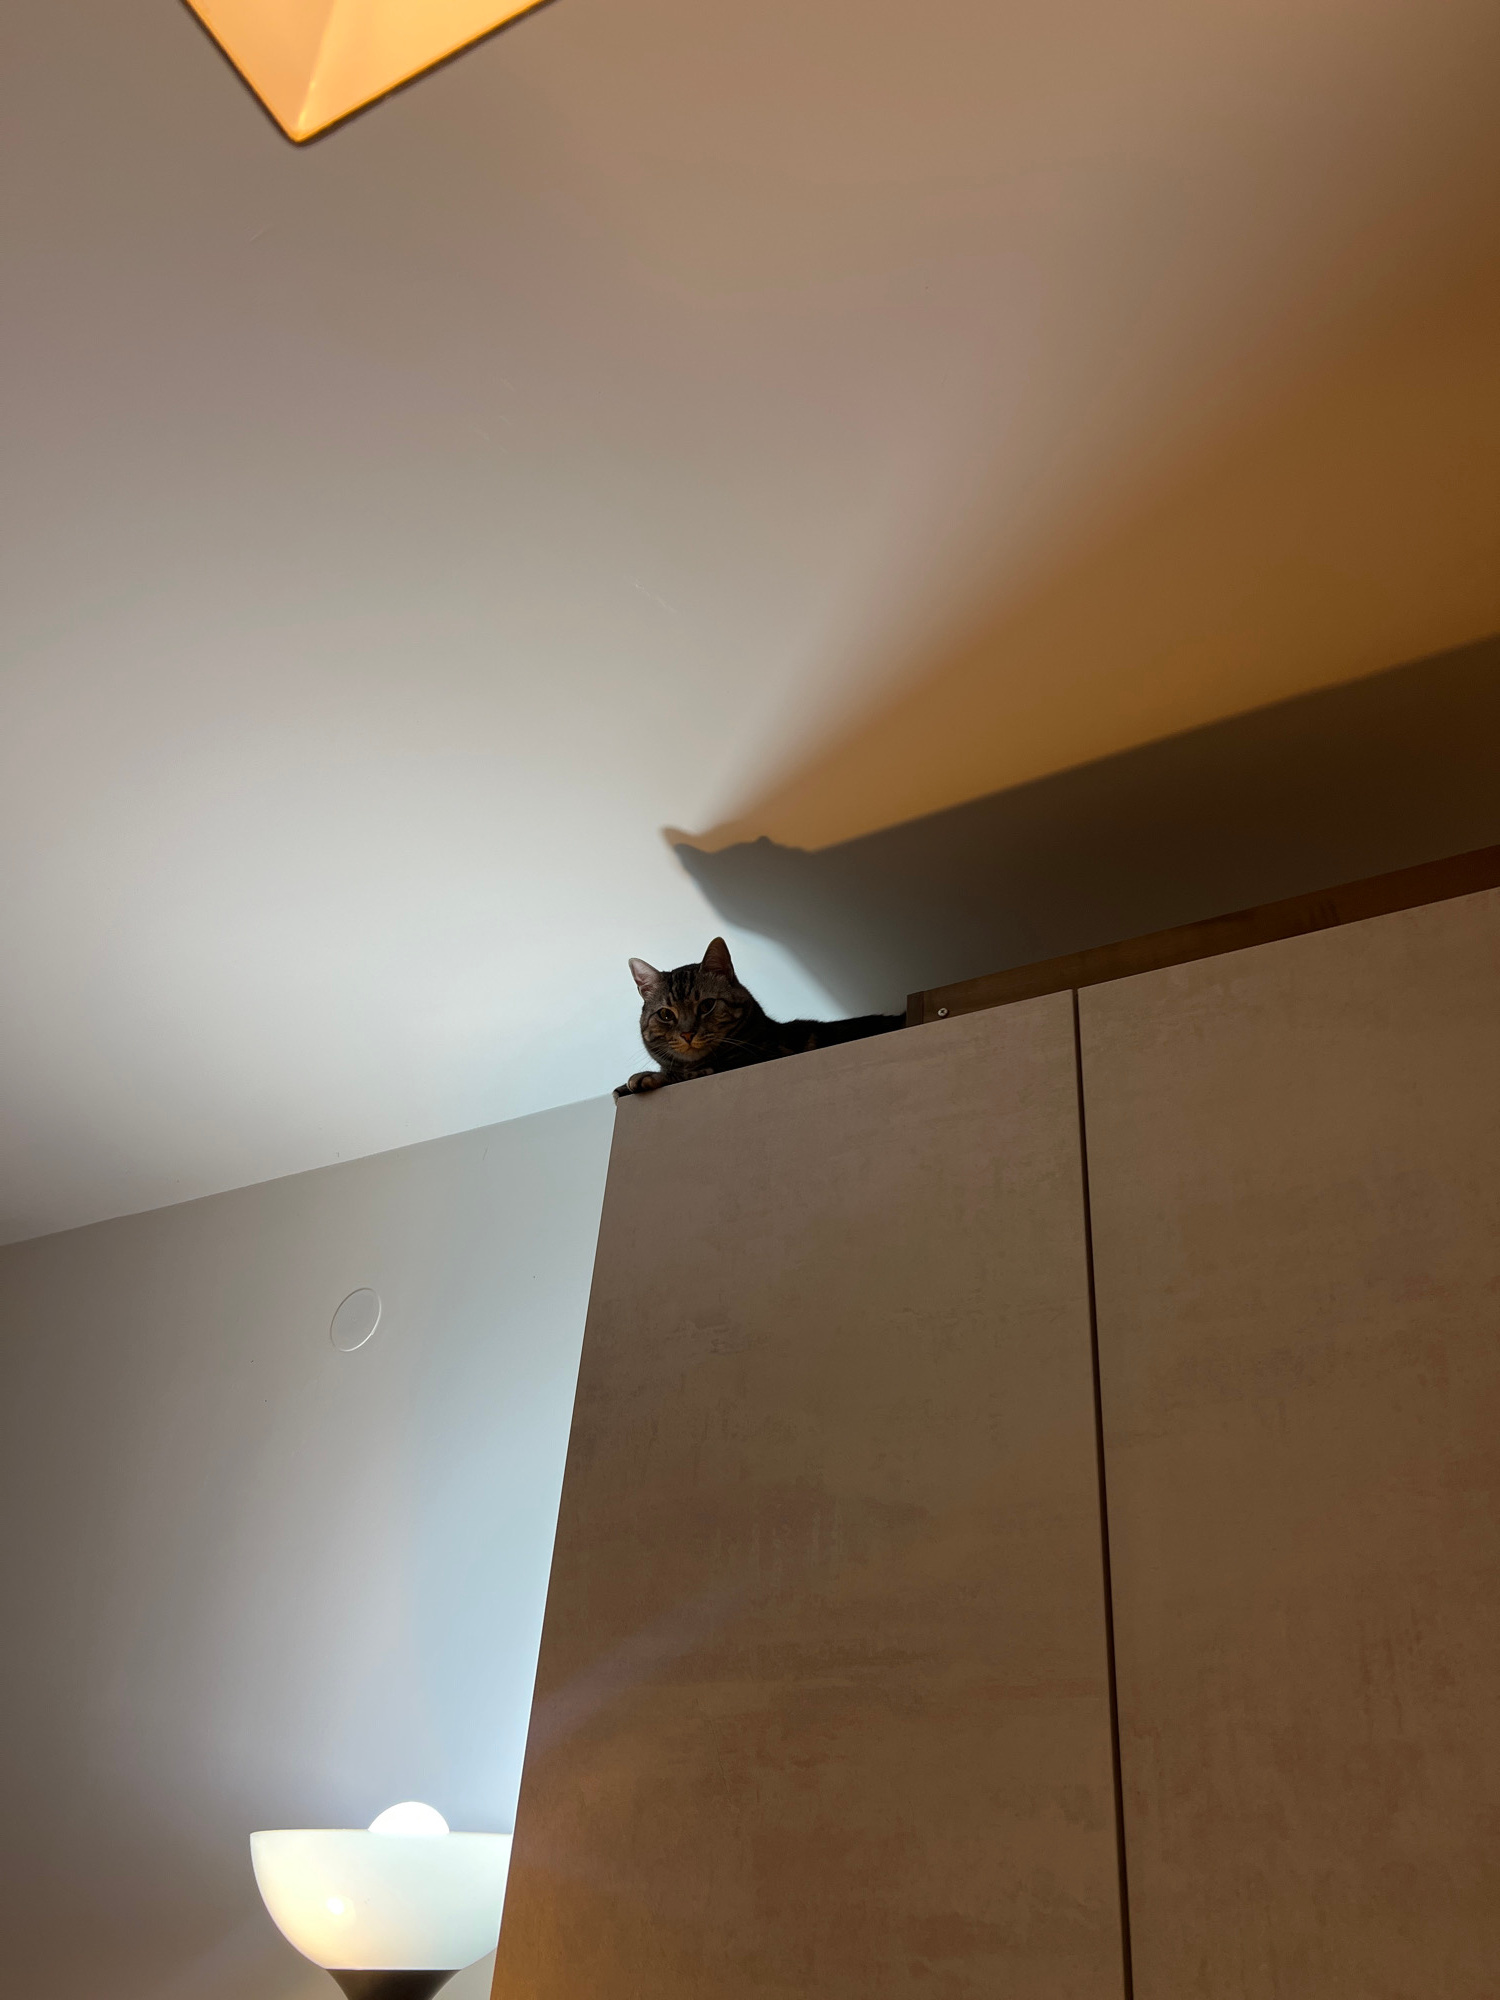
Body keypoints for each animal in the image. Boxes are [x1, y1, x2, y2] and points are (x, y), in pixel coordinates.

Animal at [615, 936, 905, 1097]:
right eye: (666, 1014)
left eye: (707, 1005)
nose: (687, 1033)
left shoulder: (757, 1059)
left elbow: (699, 1071)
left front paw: (642, 1079)